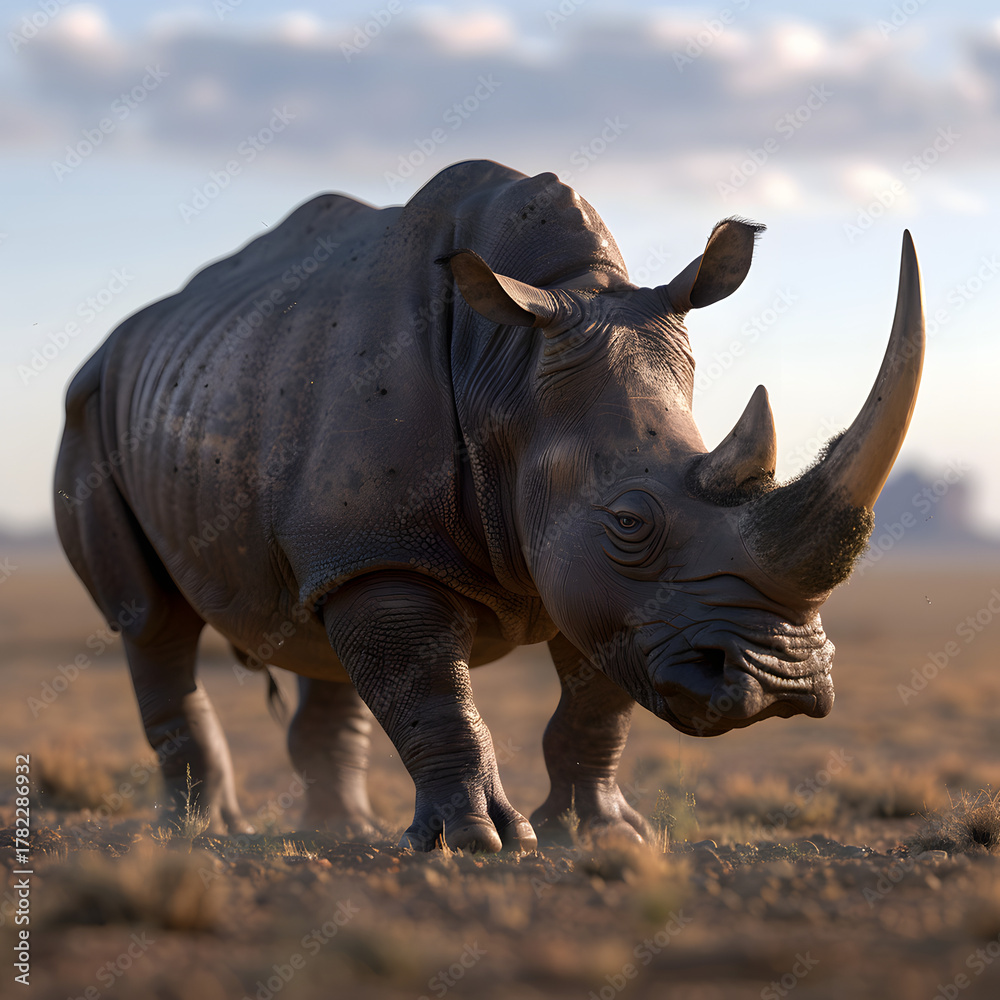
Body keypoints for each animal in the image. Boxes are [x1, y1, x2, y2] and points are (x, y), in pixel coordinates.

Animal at [55, 159, 923, 852]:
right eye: (631, 522)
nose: (782, 684)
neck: (507, 368)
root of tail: (122, 339)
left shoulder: (599, 586)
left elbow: (599, 698)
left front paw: (602, 834)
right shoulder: (399, 548)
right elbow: (433, 691)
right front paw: (482, 843)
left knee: (318, 620)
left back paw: (342, 833)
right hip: (90, 406)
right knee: (151, 620)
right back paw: (203, 833)